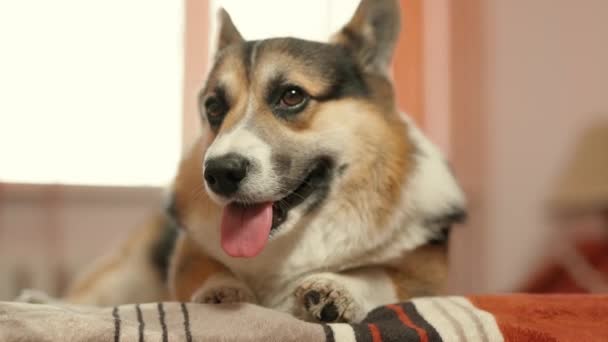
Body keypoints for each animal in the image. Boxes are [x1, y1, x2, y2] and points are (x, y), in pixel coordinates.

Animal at [63, 0, 466, 324]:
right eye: (213, 107)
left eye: (292, 96)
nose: (219, 173)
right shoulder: (189, 254)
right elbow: (206, 269)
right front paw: (222, 291)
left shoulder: (428, 269)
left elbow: (380, 274)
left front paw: (338, 287)